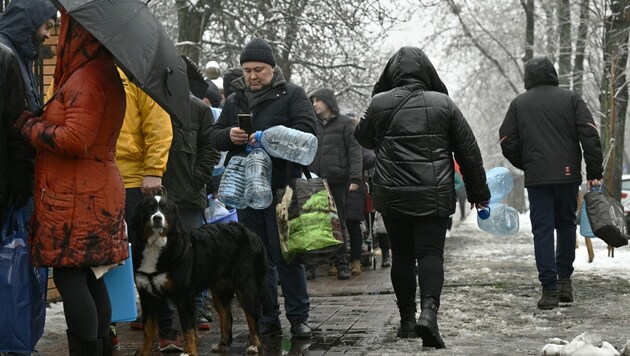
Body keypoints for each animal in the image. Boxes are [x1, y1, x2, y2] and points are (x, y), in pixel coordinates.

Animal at [132, 195, 270, 356]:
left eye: (165, 209)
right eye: (149, 207)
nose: (157, 218)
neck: (157, 246)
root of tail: (251, 233)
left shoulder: (183, 295)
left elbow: (188, 328)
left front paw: (190, 352)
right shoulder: (147, 296)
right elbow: (148, 329)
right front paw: (144, 352)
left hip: (245, 286)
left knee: (252, 317)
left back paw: (254, 345)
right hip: (220, 290)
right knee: (226, 316)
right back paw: (223, 345)